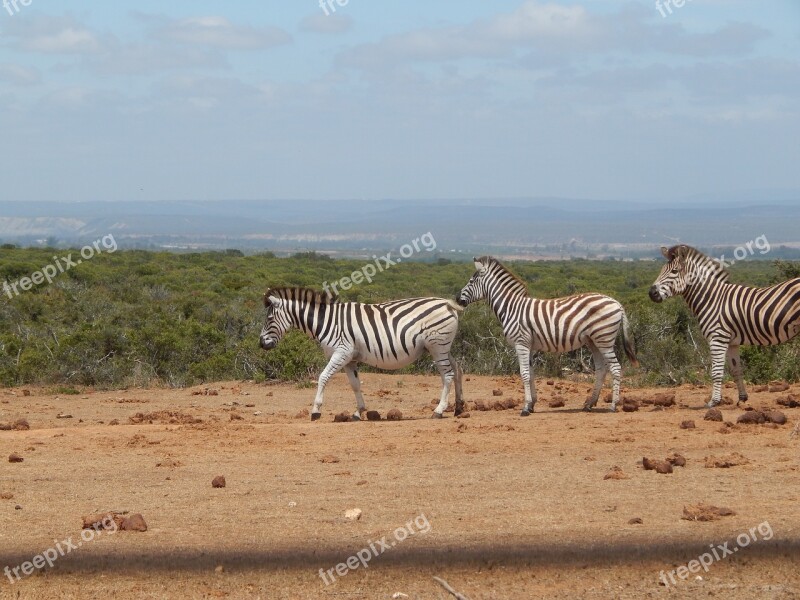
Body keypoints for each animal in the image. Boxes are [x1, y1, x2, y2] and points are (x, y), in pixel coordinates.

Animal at [260, 288, 466, 420]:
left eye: (269, 318)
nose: (261, 344)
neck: (326, 321)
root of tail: (446, 304)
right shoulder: (349, 359)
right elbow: (355, 384)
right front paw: (358, 412)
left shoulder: (341, 352)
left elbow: (323, 377)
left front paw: (316, 410)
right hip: (442, 347)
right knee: (457, 369)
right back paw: (458, 407)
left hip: (437, 346)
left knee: (447, 375)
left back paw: (439, 410)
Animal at [456, 255, 636, 414]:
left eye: (471, 281)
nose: (457, 298)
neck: (511, 308)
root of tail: (617, 303)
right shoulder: (529, 345)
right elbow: (530, 373)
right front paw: (531, 405)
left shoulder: (521, 343)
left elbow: (524, 374)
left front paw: (525, 408)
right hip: (594, 341)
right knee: (601, 369)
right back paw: (589, 404)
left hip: (604, 338)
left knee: (615, 368)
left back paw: (613, 405)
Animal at [648, 244, 800, 408]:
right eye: (662, 269)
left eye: (675, 271)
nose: (651, 293)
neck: (712, 299)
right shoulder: (732, 342)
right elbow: (736, 370)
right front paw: (742, 398)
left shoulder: (717, 338)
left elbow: (716, 372)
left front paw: (714, 401)